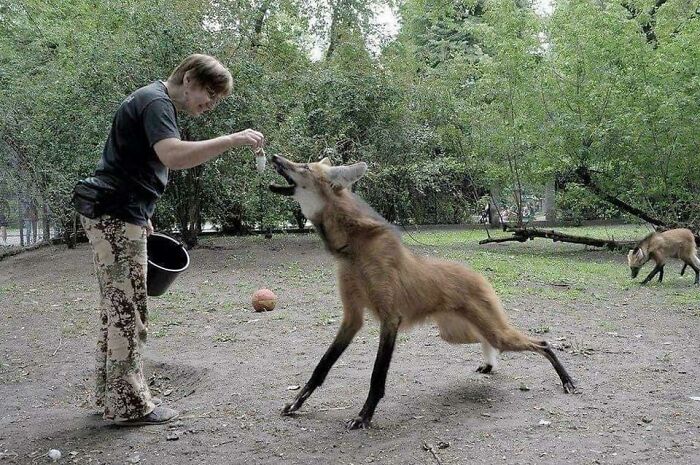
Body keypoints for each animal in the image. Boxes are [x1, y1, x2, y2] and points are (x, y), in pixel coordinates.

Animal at [268, 155, 575, 430]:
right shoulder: (352, 318)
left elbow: (377, 377)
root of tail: (478, 275)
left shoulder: (390, 319)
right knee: (485, 339)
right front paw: (296, 404)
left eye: (303, 166)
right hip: (454, 334)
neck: (354, 249)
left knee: (541, 343)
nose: (274, 156)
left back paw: (566, 380)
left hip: (490, 331)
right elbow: (321, 367)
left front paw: (364, 417)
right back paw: (490, 364)